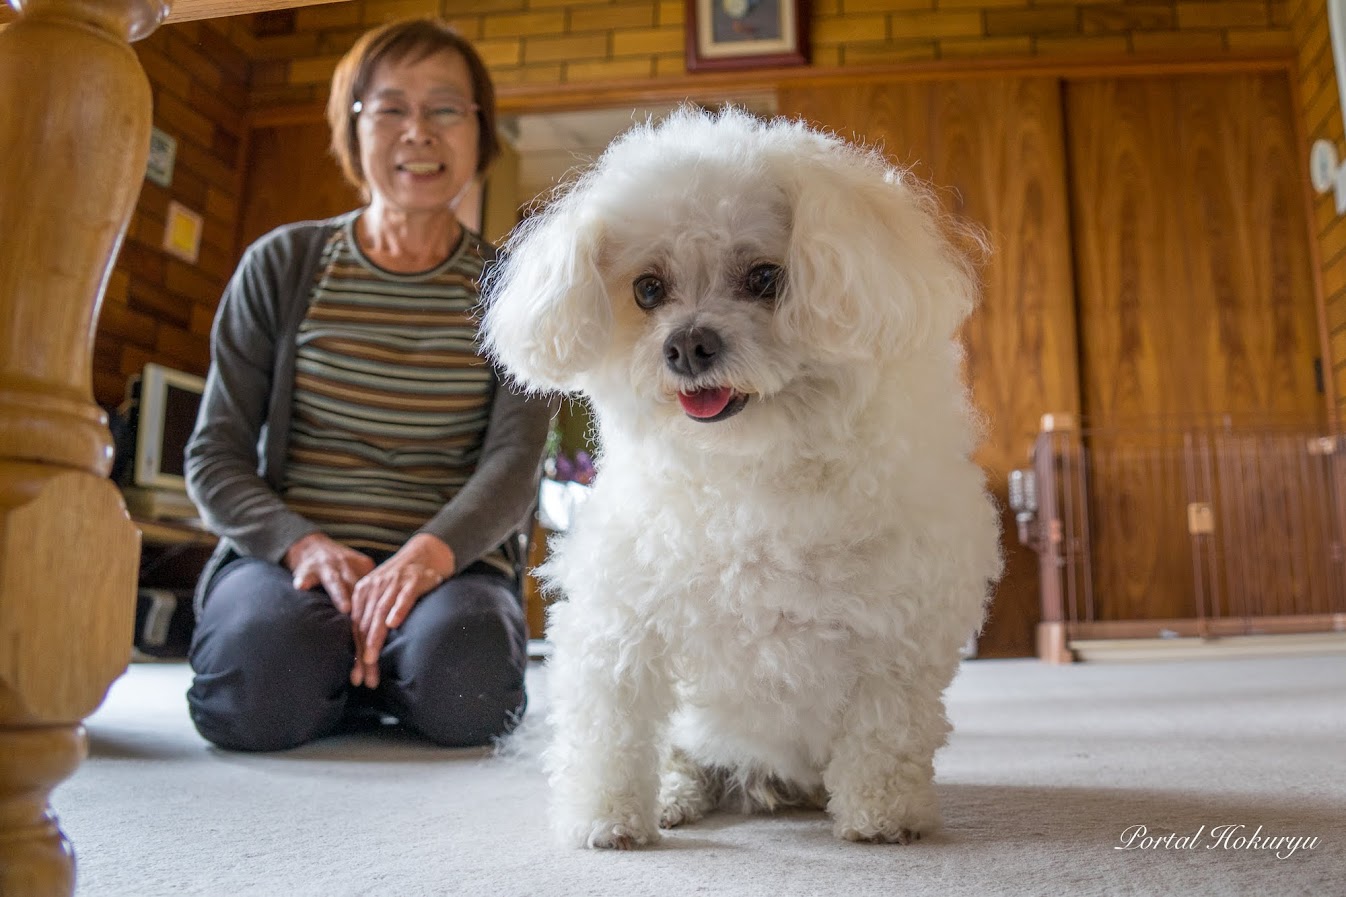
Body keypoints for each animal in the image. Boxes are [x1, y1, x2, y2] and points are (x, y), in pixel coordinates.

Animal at [481, 103, 1001, 845]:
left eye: (764, 278)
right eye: (648, 288)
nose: (687, 345)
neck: (749, 464)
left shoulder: (896, 638)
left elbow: (884, 733)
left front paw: (881, 815)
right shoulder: (622, 624)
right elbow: (611, 732)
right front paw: (607, 818)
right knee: (677, 754)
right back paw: (674, 796)